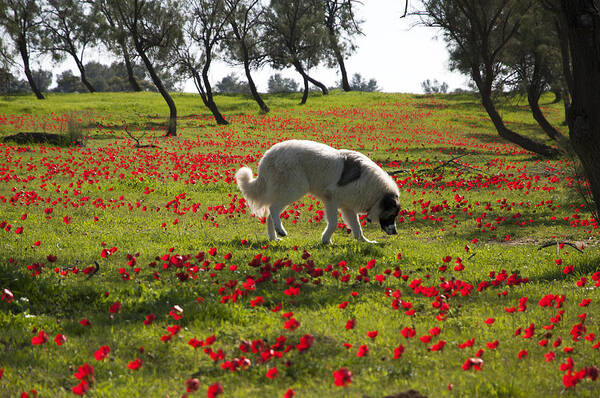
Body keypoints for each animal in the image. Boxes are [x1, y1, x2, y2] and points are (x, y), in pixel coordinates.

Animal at [234, 141, 398, 244]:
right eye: (392, 215)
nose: (396, 233)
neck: (375, 191)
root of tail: (267, 157)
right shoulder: (331, 200)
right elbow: (333, 223)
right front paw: (326, 240)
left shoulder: (347, 208)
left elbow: (357, 227)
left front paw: (365, 242)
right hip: (295, 189)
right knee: (273, 208)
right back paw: (281, 230)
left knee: (269, 215)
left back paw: (274, 237)